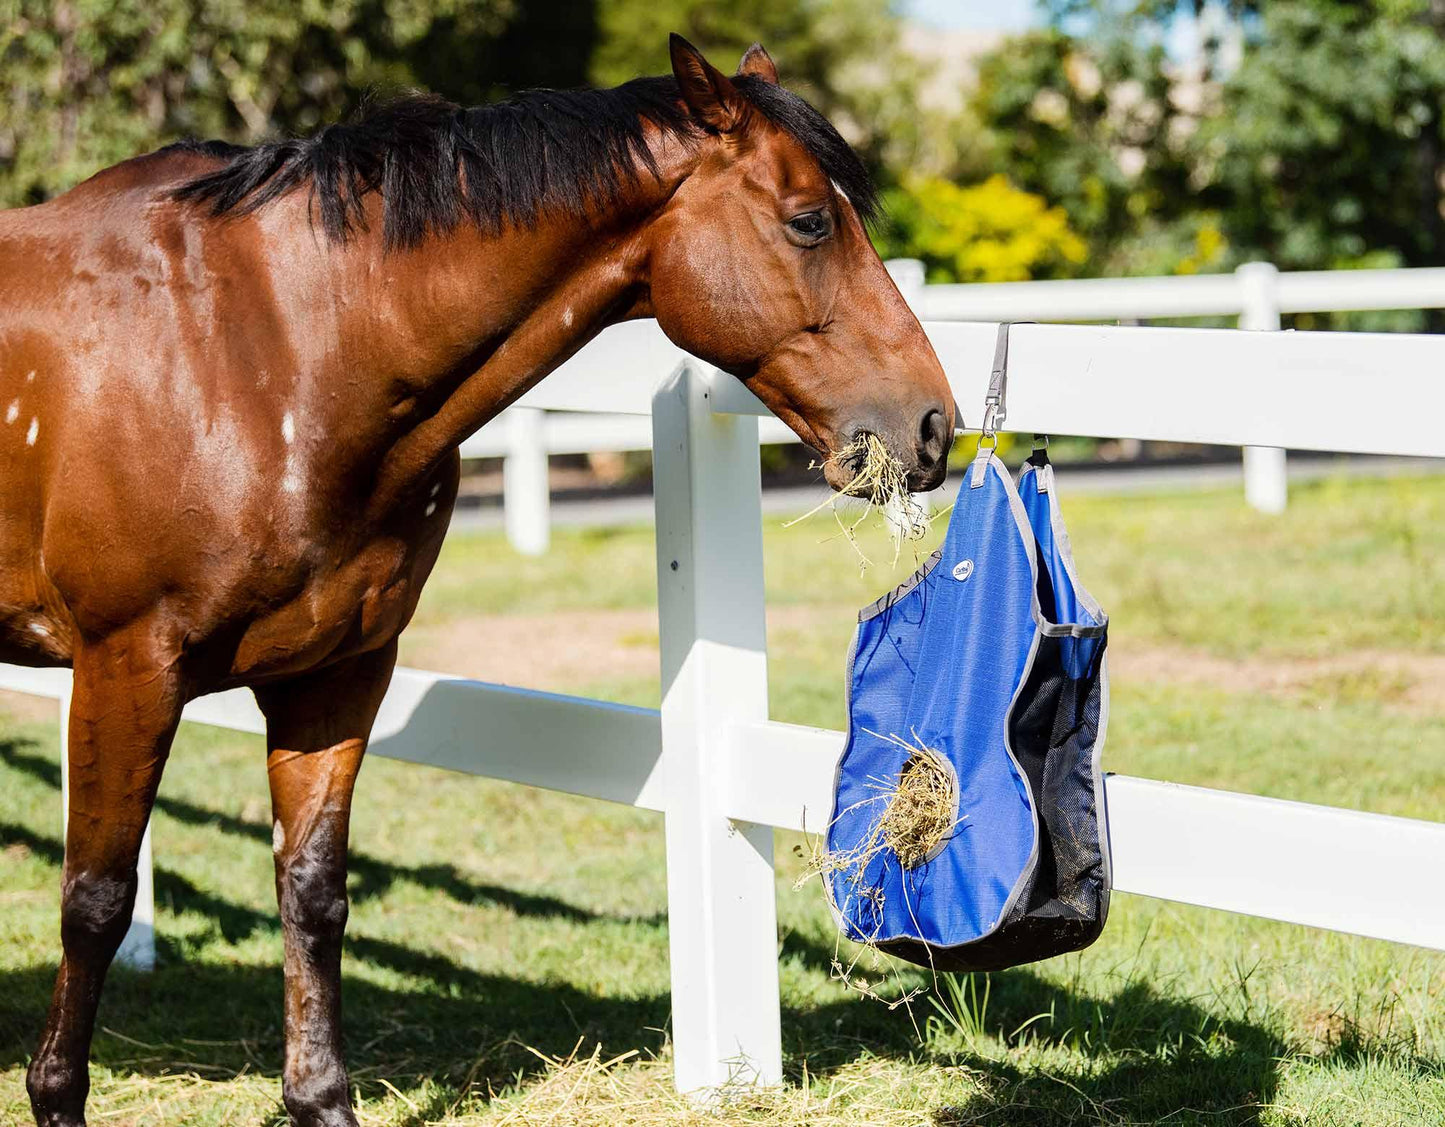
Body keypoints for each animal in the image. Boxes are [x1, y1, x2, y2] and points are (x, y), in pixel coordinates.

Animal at [0, 34, 953, 1126]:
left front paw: (321, 1097)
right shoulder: (127, 670)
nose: (932, 424)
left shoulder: (338, 672)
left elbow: (312, 890)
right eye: (807, 220)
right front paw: (56, 1093)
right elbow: (96, 898)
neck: (265, 350)